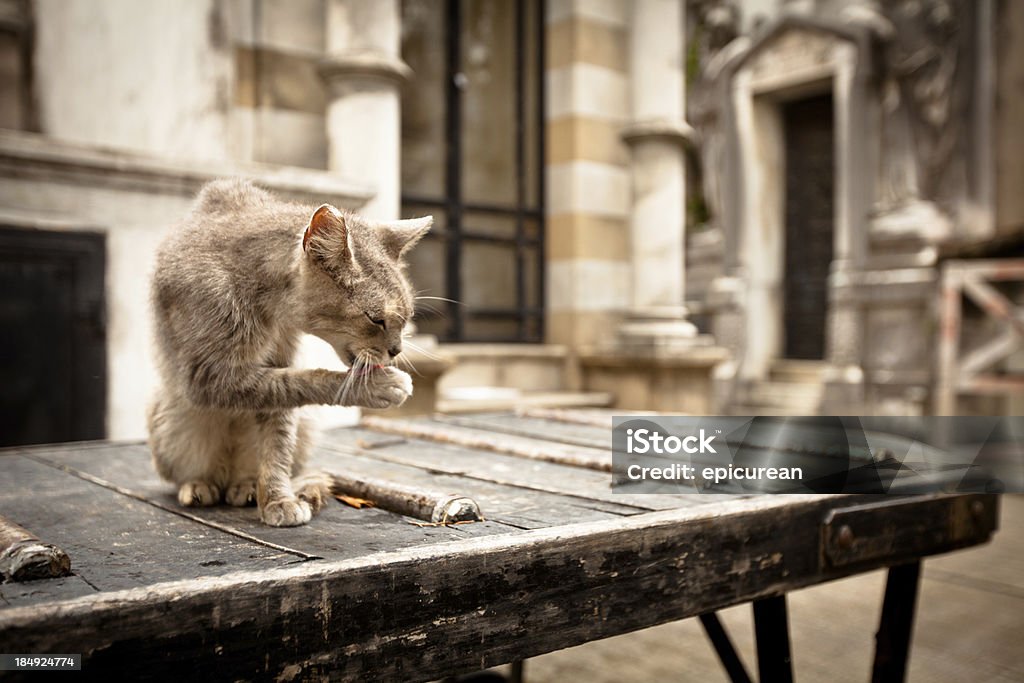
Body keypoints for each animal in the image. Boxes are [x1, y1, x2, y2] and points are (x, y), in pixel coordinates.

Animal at [147, 179, 428, 528]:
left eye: (407, 317)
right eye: (376, 319)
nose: (396, 349)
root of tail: (227, 474)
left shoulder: (281, 364)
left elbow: (277, 437)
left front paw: (277, 498)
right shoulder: (207, 377)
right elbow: (300, 381)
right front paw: (377, 386)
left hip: (303, 423)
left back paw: (247, 485)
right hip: (173, 416)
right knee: (196, 475)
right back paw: (199, 485)